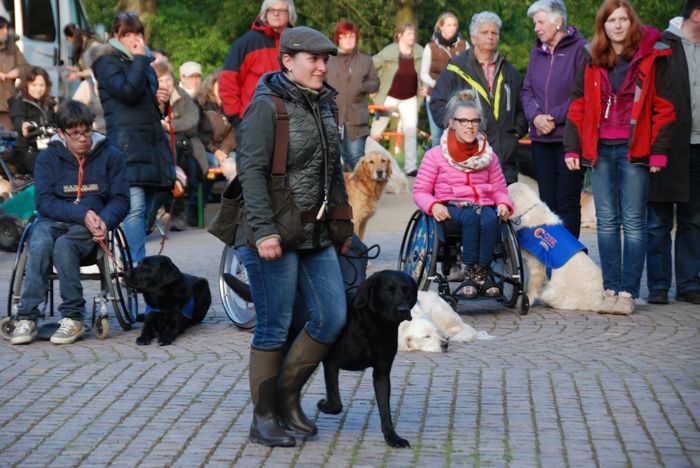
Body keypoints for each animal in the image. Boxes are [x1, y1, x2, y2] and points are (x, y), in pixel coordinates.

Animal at [224, 269, 417, 448]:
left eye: (407, 291)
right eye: (388, 290)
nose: (403, 310)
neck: (375, 327)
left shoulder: (382, 373)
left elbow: (385, 410)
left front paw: (393, 437)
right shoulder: (331, 362)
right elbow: (336, 402)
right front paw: (323, 404)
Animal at [508, 182, 606, 311]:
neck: (529, 210)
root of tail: (597, 302)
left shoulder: (535, 266)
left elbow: (531, 285)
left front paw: (525, 300)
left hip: (550, 292)